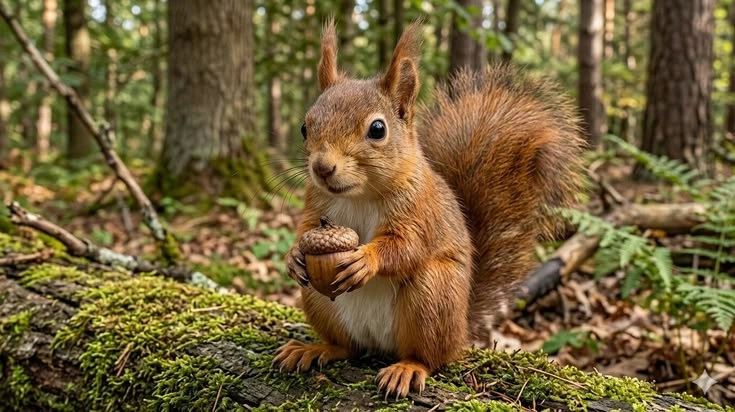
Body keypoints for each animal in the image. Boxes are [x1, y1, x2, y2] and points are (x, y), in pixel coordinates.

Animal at [272, 20, 586, 399]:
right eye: (305, 126)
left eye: (377, 129)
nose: (322, 168)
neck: (359, 195)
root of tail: (461, 330)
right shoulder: (316, 203)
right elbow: (305, 229)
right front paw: (292, 256)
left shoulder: (420, 210)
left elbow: (407, 246)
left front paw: (367, 259)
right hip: (319, 300)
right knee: (347, 347)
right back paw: (316, 348)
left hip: (433, 294)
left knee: (431, 357)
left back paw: (408, 368)